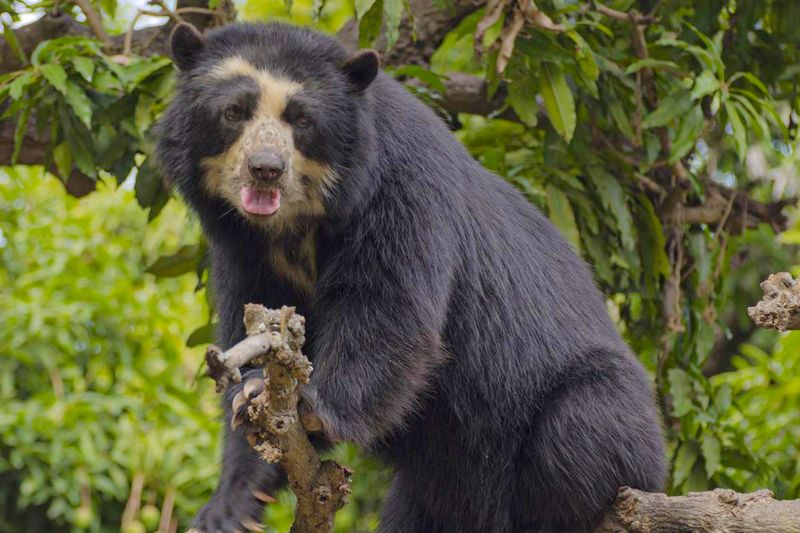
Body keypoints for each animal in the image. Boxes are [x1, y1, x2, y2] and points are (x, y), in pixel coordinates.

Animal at [158, 20, 668, 532]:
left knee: (578, 429)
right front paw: (231, 494)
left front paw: (312, 408)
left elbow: (388, 309)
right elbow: (254, 329)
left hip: (598, 418)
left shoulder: (400, 190)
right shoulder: (242, 250)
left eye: (301, 119)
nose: (266, 169)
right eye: (234, 112)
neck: (296, 226)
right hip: (431, 490)